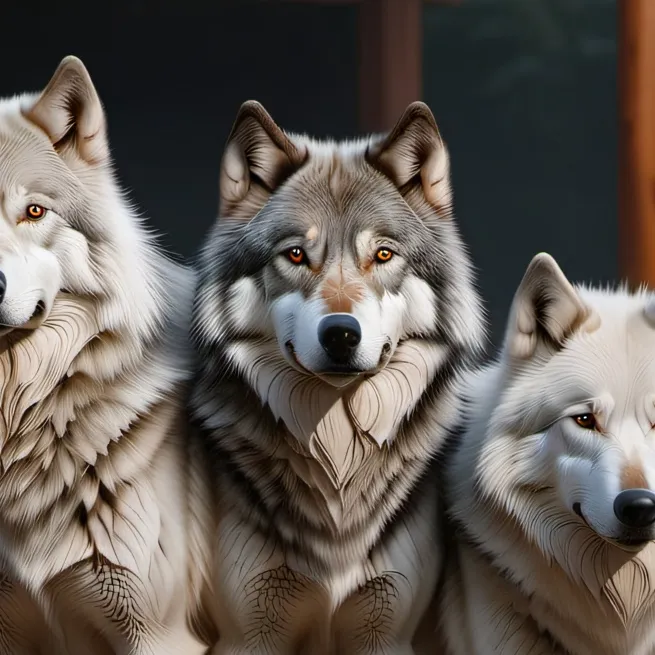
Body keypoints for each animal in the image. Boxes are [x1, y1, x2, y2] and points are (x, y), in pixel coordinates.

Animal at [189, 99, 486, 654]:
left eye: (383, 254)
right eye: (296, 254)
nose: (341, 335)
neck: (338, 451)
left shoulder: (387, 628)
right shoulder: (250, 631)